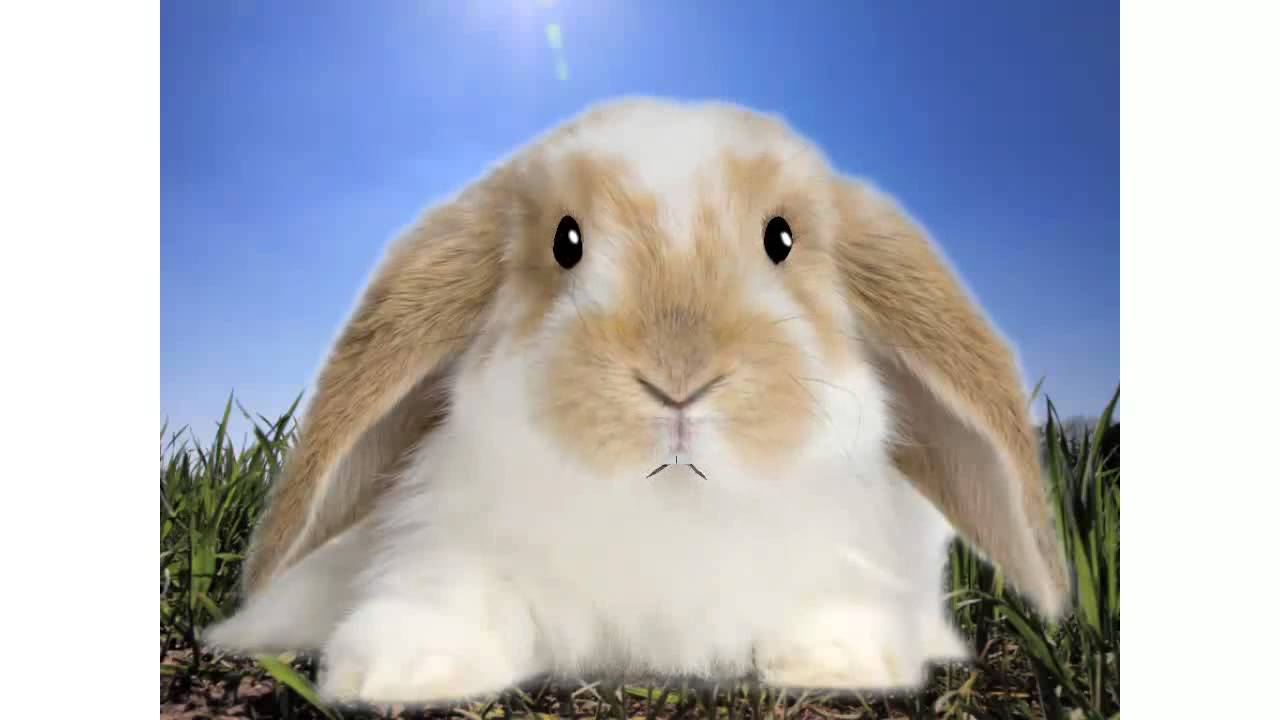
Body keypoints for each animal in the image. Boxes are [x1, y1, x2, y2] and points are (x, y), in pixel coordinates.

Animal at [205, 97, 1069, 705]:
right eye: (566, 241)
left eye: (781, 239)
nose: (677, 375)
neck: (671, 509)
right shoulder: (446, 543)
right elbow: (453, 594)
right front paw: (403, 668)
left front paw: (836, 659)